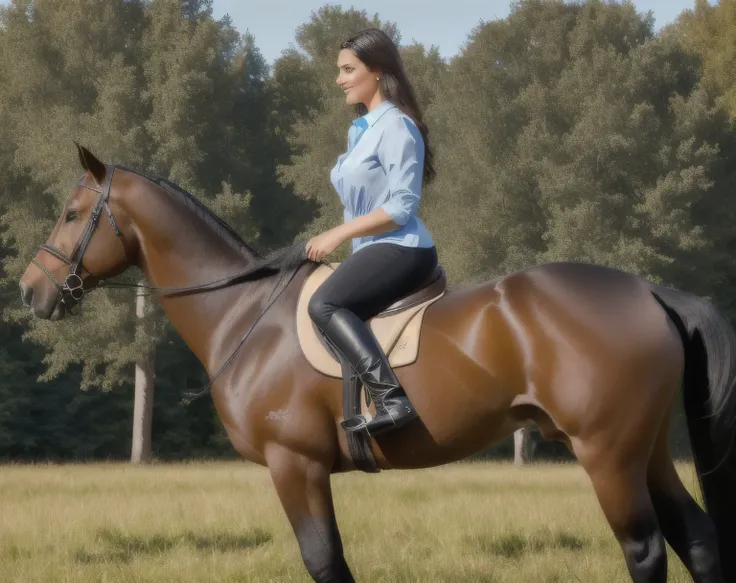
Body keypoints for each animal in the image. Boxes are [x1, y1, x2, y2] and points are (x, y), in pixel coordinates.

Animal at [15, 147, 736, 583]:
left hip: (607, 453)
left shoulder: (294, 465)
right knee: (699, 539)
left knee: (644, 550)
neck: (243, 314)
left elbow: (325, 562)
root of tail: (648, 291)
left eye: (72, 214)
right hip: (643, 449)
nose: (29, 290)